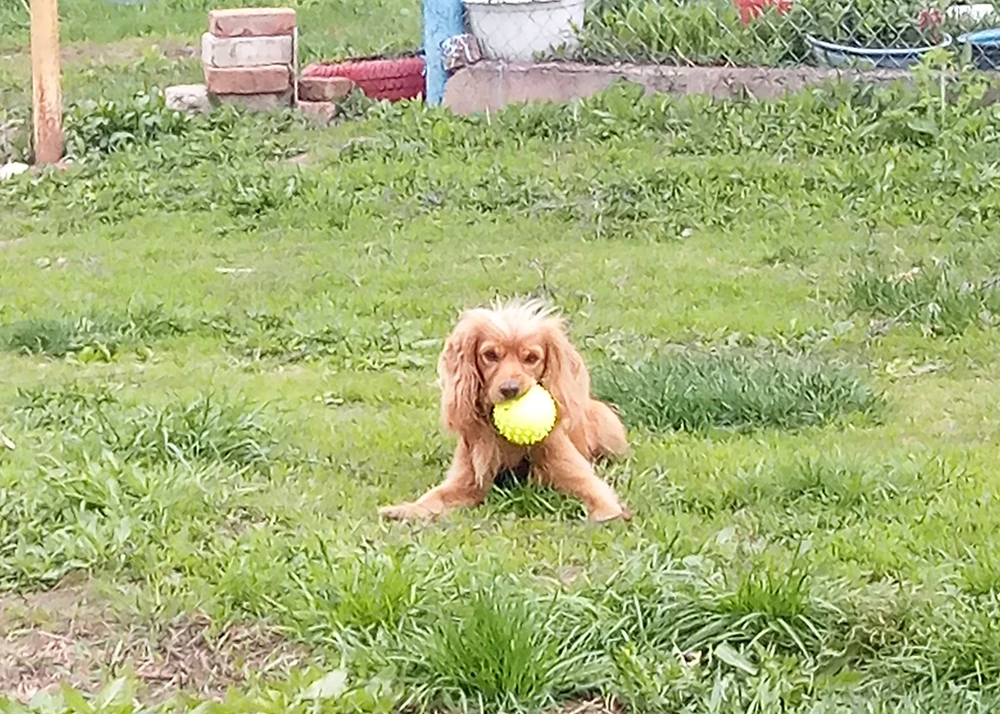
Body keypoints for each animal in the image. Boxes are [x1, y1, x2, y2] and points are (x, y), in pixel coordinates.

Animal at [378, 298, 628, 520]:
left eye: (532, 358)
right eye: (490, 355)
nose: (510, 389)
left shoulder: (573, 472)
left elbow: (597, 495)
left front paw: (607, 515)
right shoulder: (467, 481)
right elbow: (433, 497)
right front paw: (404, 509)